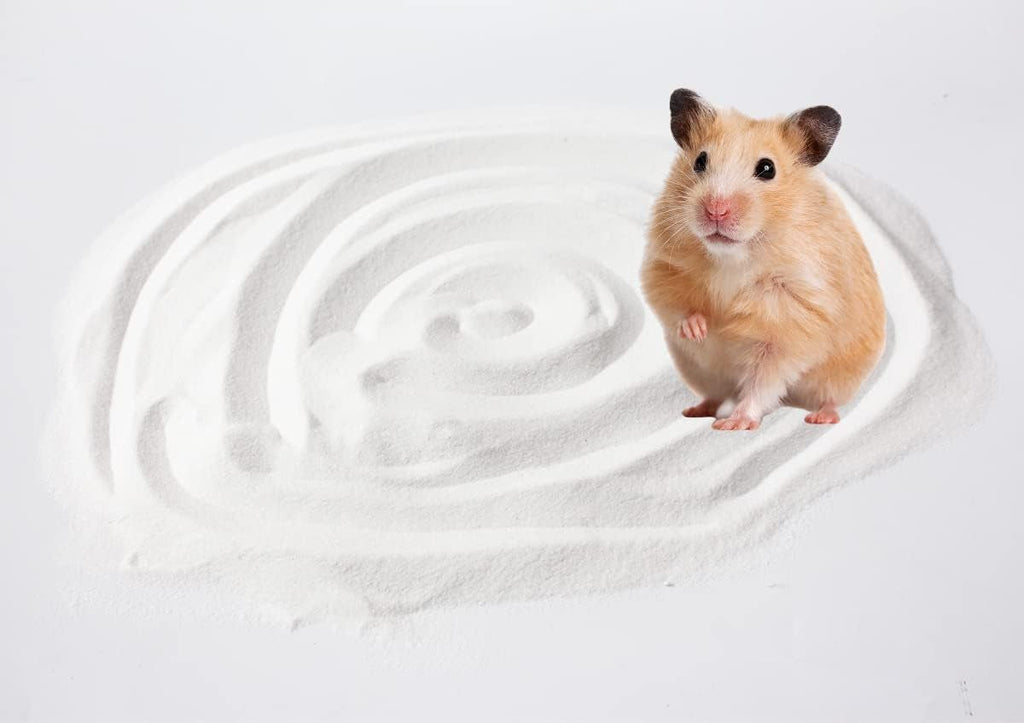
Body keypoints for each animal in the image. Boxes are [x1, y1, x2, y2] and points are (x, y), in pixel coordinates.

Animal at [641, 89, 885, 431]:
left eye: (767, 169)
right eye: (700, 161)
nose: (716, 210)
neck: (732, 256)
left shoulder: (790, 322)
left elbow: (763, 380)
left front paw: (735, 424)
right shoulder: (663, 265)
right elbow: (675, 303)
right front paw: (699, 329)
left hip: (841, 376)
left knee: (827, 398)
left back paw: (820, 418)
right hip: (699, 371)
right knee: (715, 394)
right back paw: (696, 410)